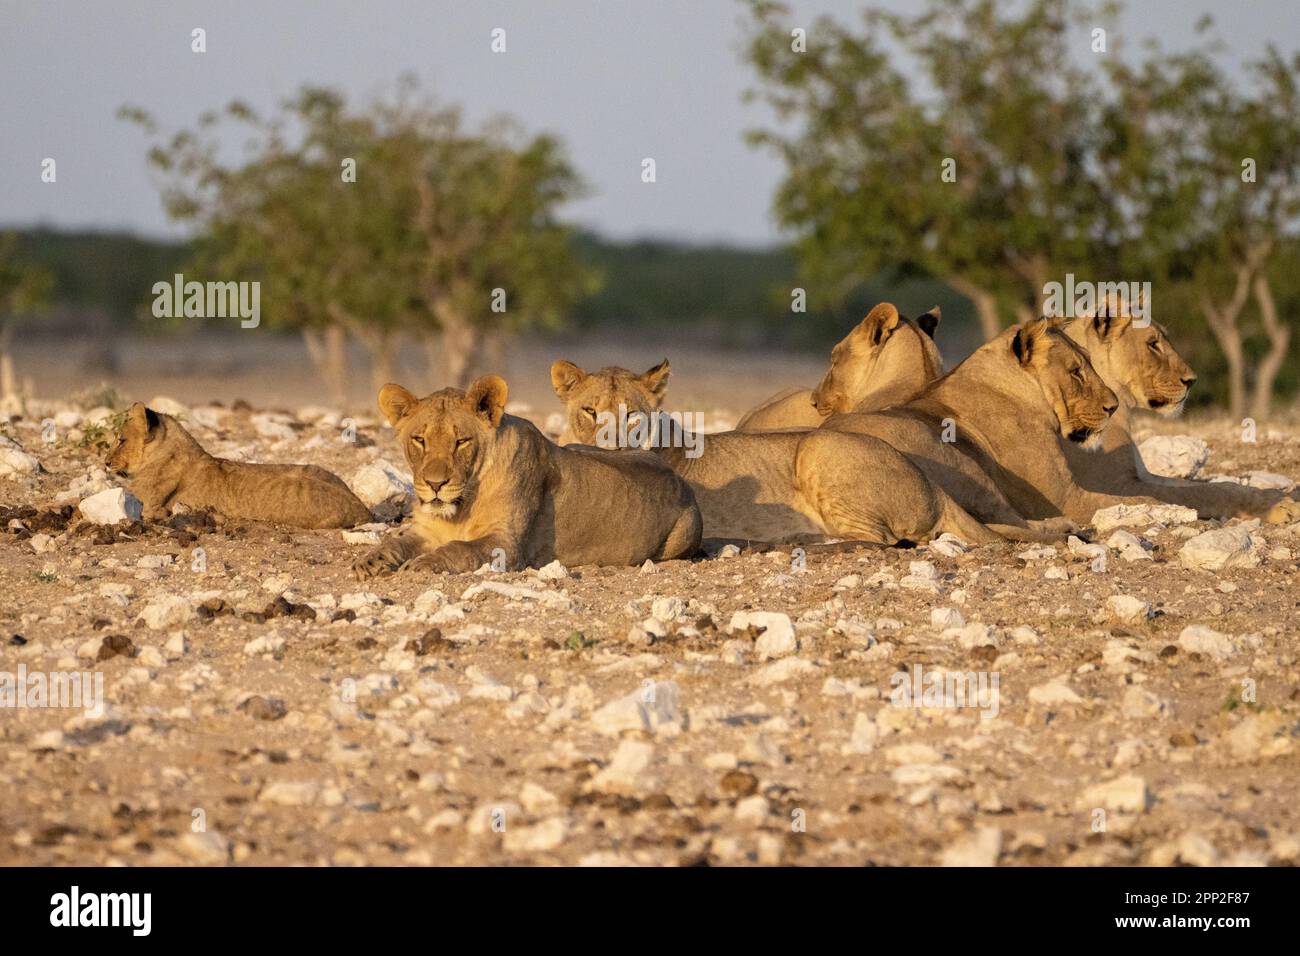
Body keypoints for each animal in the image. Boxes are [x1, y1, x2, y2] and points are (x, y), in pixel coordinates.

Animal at [353, 377, 702, 580]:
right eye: (420, 440)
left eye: (461, 441)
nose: (435, 485)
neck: (462, 505)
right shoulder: (426, 530)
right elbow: (396, 541)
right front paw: (371, 560)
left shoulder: (505, 544)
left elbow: (459, 548)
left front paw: (423, 565)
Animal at [821, 321, 1180, 530]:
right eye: (1076, 371)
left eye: (1089, 364)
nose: (1112, 406)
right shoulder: (1064, 498)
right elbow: (1141, 499)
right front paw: (1164, 509)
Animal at [1060, 308, 1294, 522]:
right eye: (1153, 343)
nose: (1191, 381)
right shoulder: (1113, 485)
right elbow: (1203, 492)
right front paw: (1277, 507)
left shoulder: (1142, 474)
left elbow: (1211, 484)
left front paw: (1275, 496)